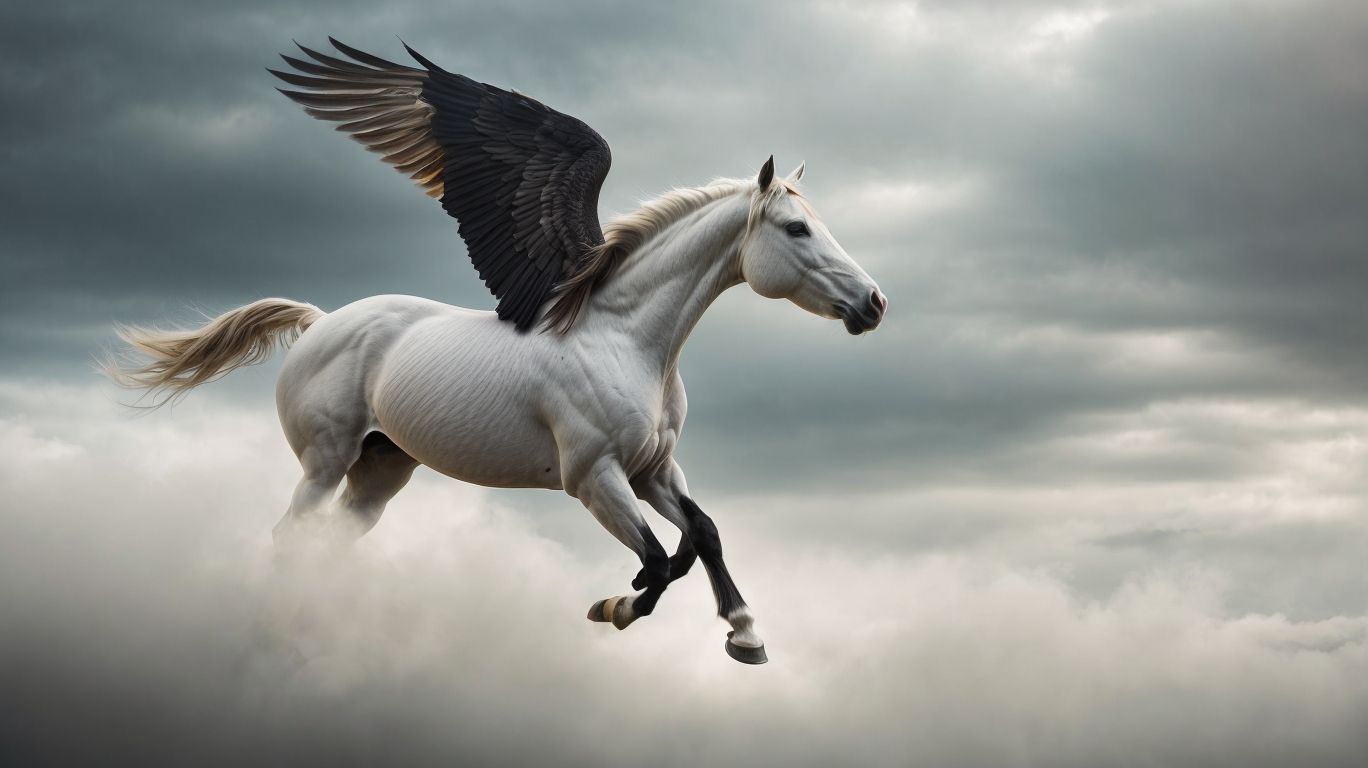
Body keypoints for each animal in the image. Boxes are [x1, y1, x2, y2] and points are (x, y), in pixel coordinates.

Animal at [107, 41, 887, 664]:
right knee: (287, 539)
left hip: (379, 473)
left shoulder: (655, 468)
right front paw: (617, 605)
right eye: (795, 229)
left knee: (326, 546)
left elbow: (704, 535)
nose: (874, 304)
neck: (628, 342)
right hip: (325, 462)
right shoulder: (595, 478)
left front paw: (744, 633)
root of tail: (321, 323)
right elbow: (662, 562)